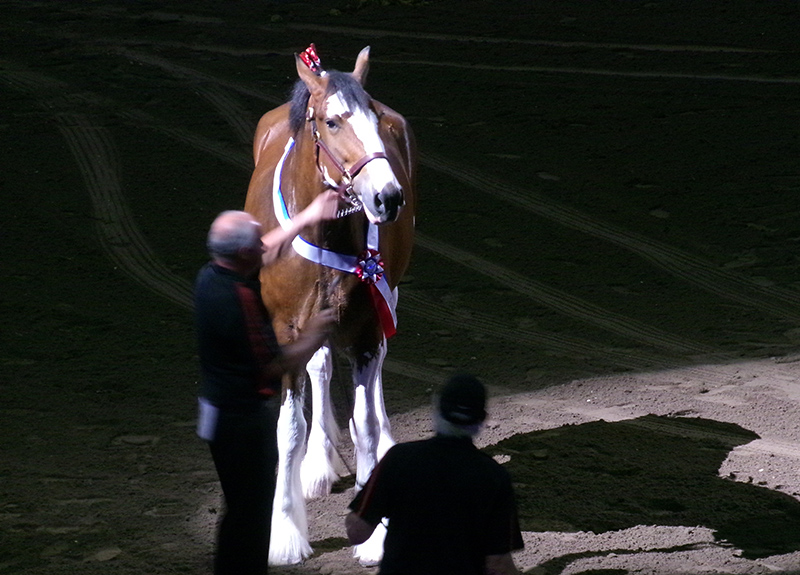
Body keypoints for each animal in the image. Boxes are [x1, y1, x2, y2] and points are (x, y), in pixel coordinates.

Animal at [242, 46, 418, 568]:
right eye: (333, 121)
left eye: (376, 120)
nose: (388, 196)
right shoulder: (287, 331)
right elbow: (289, 428)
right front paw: (284, 533)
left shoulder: (366, 326)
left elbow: (366, 421)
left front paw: (374, 532)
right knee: (319, 370)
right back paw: (318, 463)